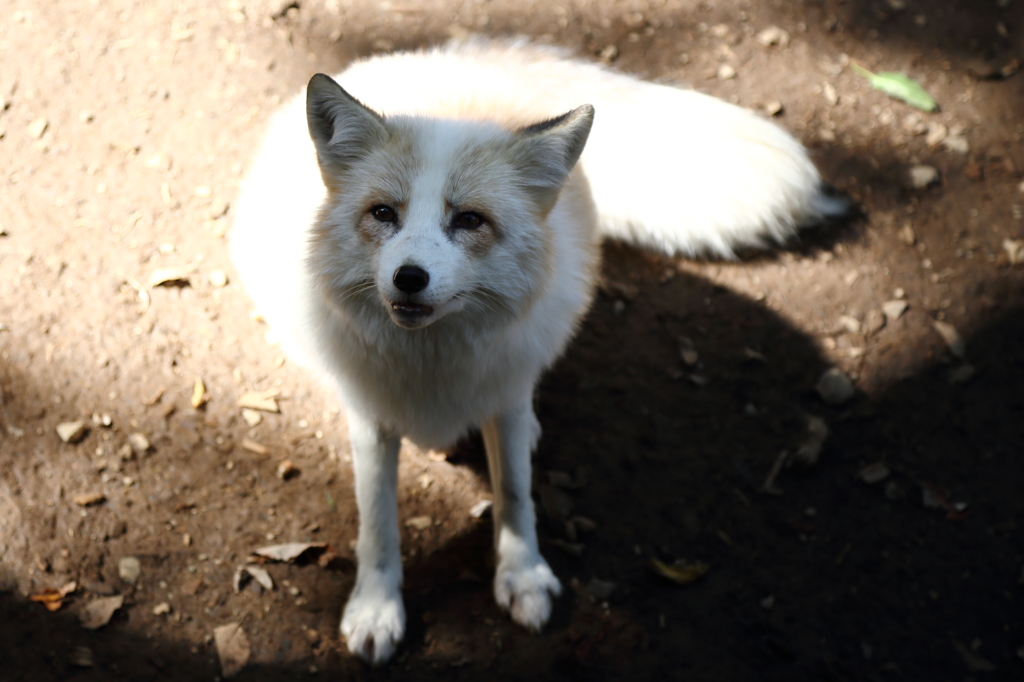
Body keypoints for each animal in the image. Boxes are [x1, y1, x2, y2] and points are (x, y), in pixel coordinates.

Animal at [232, 35, 847, 659]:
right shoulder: (374, 418)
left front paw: (522, 576)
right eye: (383, 213)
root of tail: (457, 58)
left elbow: (516, 496)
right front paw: (376, 607)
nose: (409, 278)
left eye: (469, 220)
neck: (433, 368)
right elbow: (376, 521)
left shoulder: (503, 396)